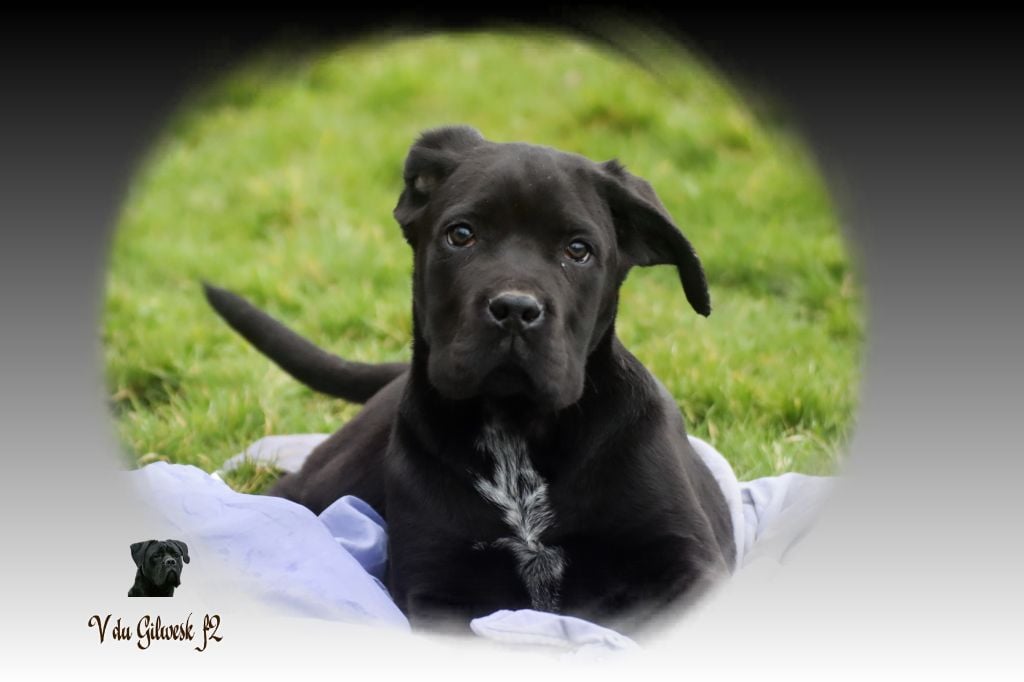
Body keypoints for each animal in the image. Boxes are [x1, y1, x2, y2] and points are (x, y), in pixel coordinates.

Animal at [205, 125, 737, 630]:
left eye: (578, 250)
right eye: (461, 235)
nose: (516, 309)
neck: (515, 428)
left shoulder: (684, 563)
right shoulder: (437, 585)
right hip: (328, 482)